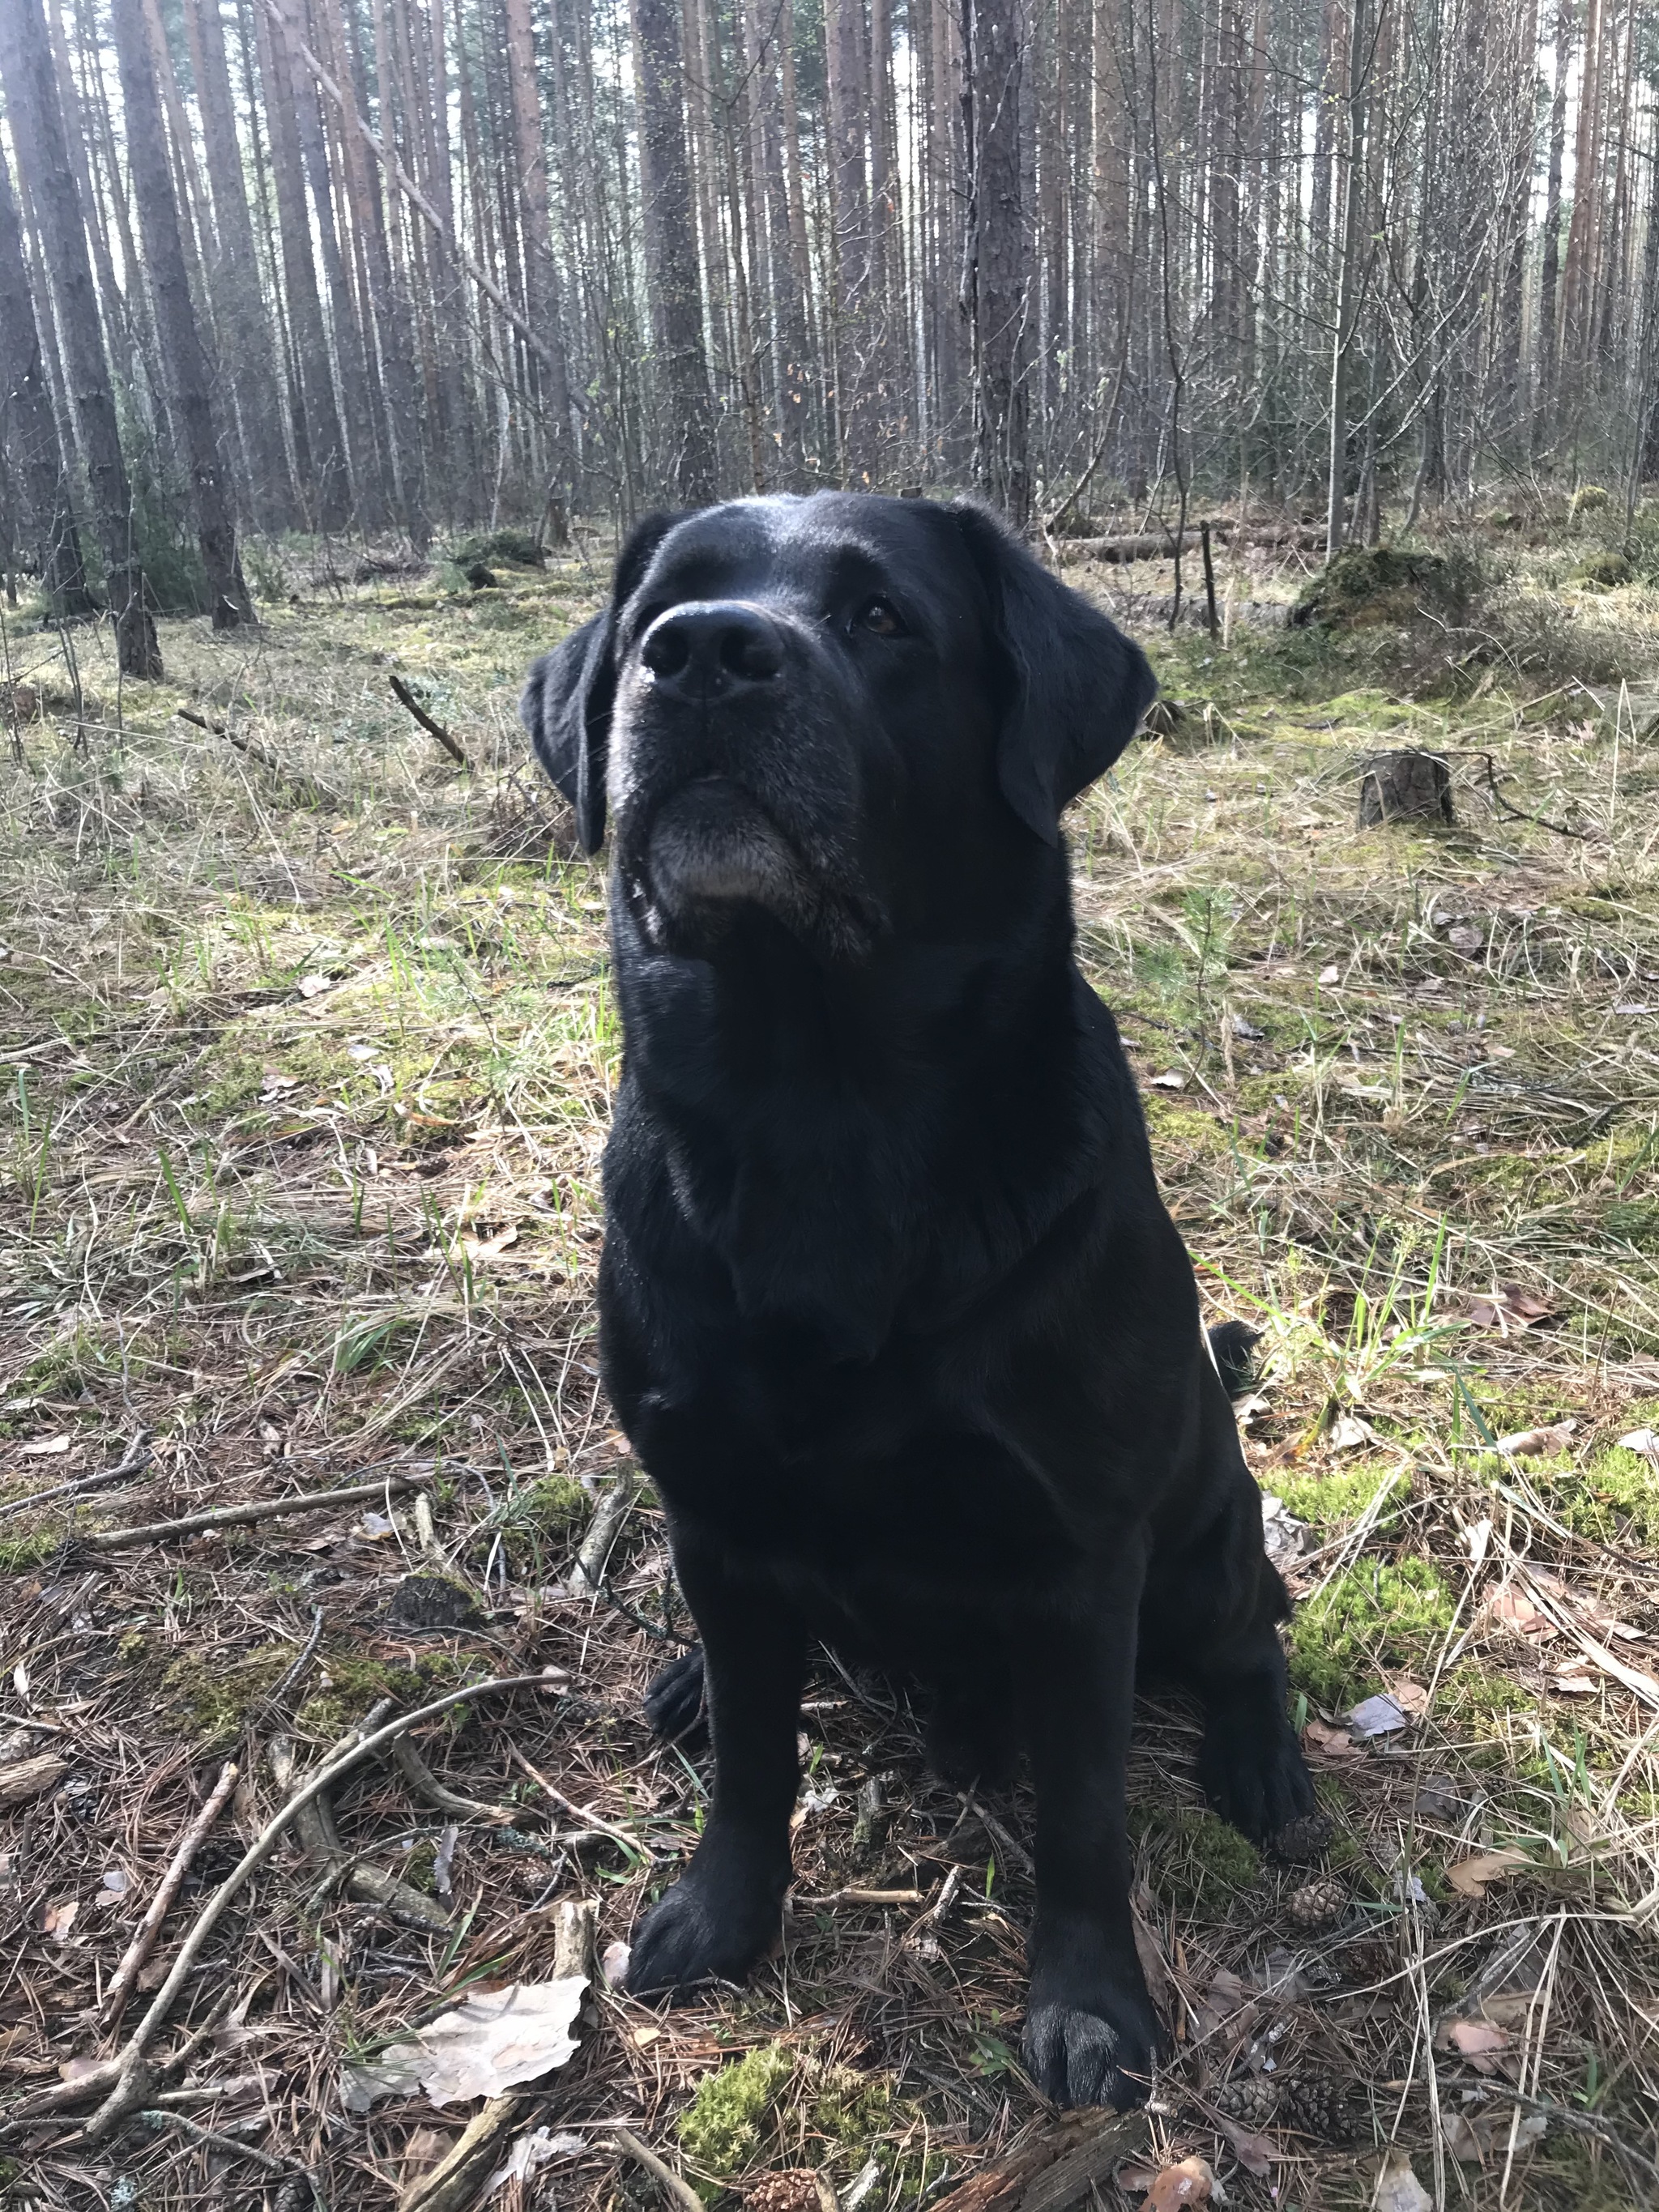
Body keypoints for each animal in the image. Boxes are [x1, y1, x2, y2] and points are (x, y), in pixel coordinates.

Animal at [526, 497, 1318, 2105]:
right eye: (659, 606)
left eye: (881, 618)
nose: (701, 656)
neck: (819, 1097)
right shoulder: (713, 1512)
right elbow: (756, 1761)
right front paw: (721, 1910)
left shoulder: (1081, 1561)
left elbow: (1084, 1812)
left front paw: (1089, 2002)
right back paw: (683, 1684)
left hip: (1202, 1542)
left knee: (1250, 1632)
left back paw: (1262, 1762)